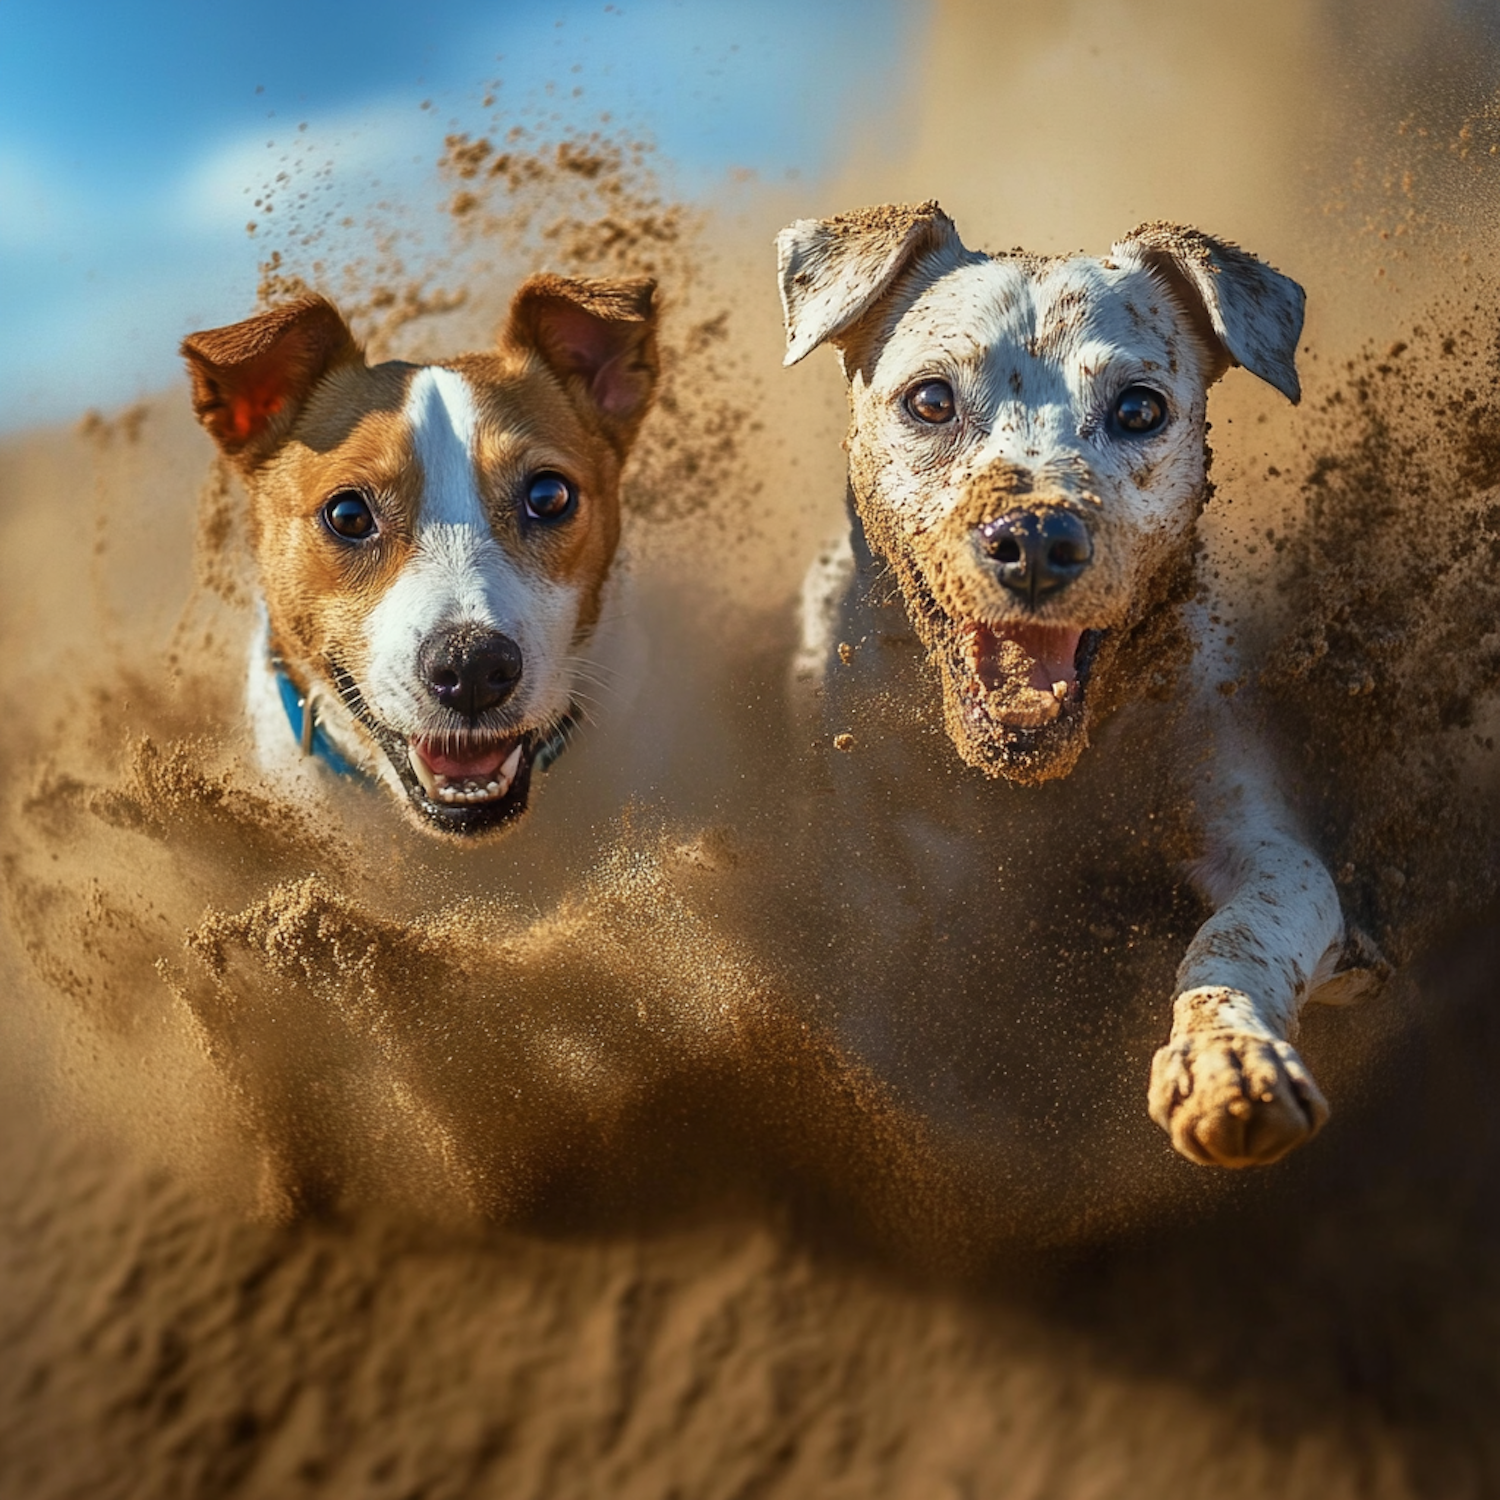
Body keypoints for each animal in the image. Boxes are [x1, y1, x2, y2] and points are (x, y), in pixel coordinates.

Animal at [786, 205, 1380, 1170]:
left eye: (1140, 407)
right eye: (930, 399)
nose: (1035, 536)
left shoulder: (1265, 843)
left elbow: (1238, 932)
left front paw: (1230, 1064)